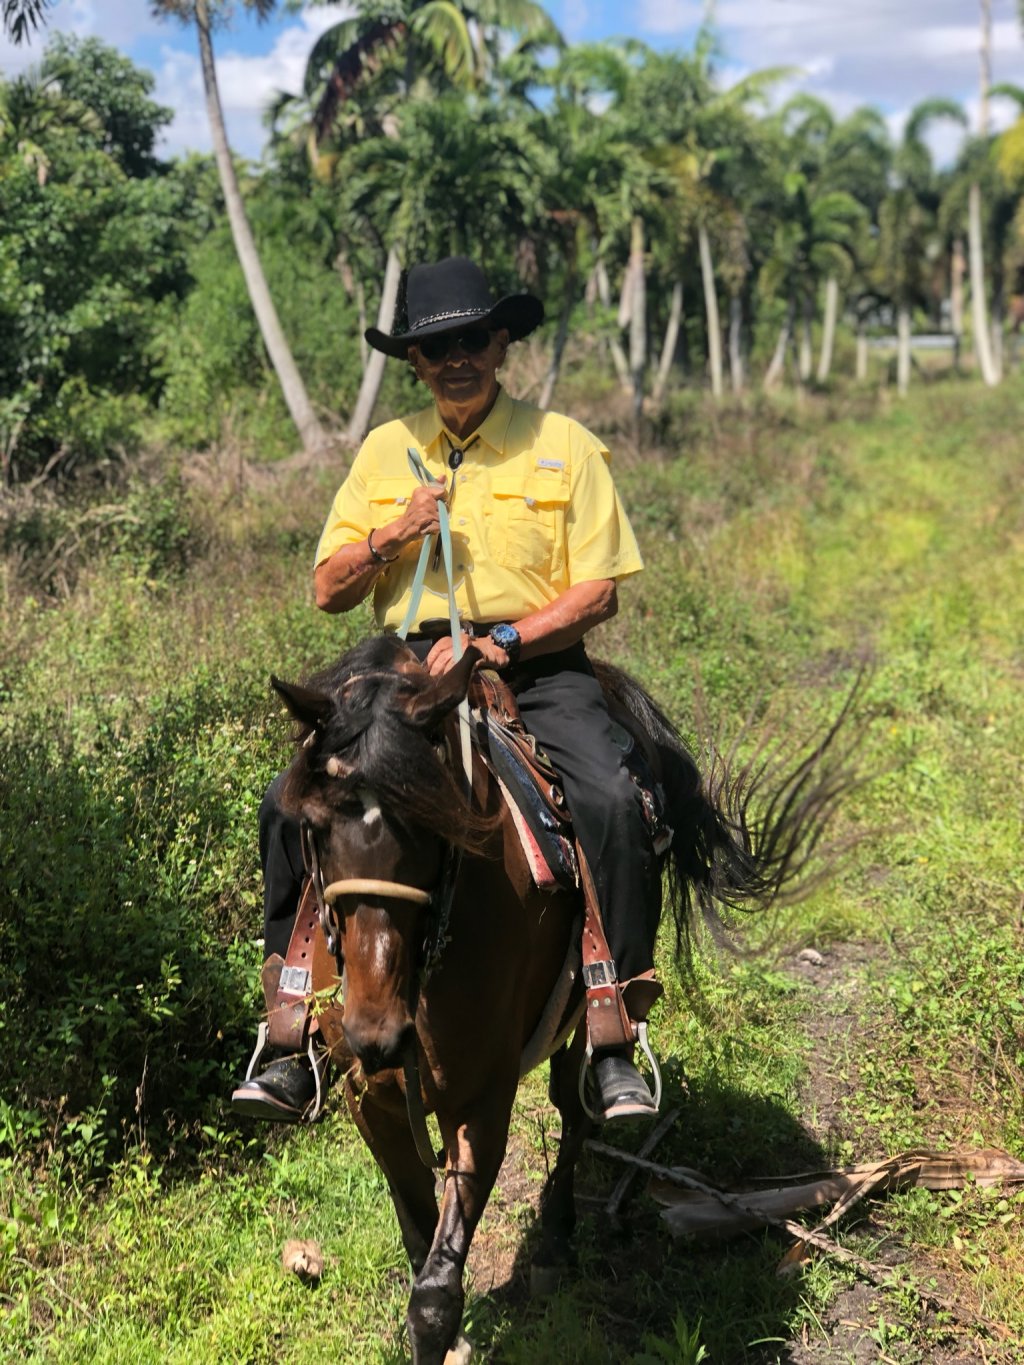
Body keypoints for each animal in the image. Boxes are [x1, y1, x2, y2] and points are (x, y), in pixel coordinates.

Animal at [270, 638, 857, 1365]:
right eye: (316, 829)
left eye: (434, 827)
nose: (376, 1033)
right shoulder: (370, 1100)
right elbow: (418, 1241)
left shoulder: (484, 1100)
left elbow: (434, 1293)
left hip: (582, 1012)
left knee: (577, 1107)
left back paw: (555, 1236)